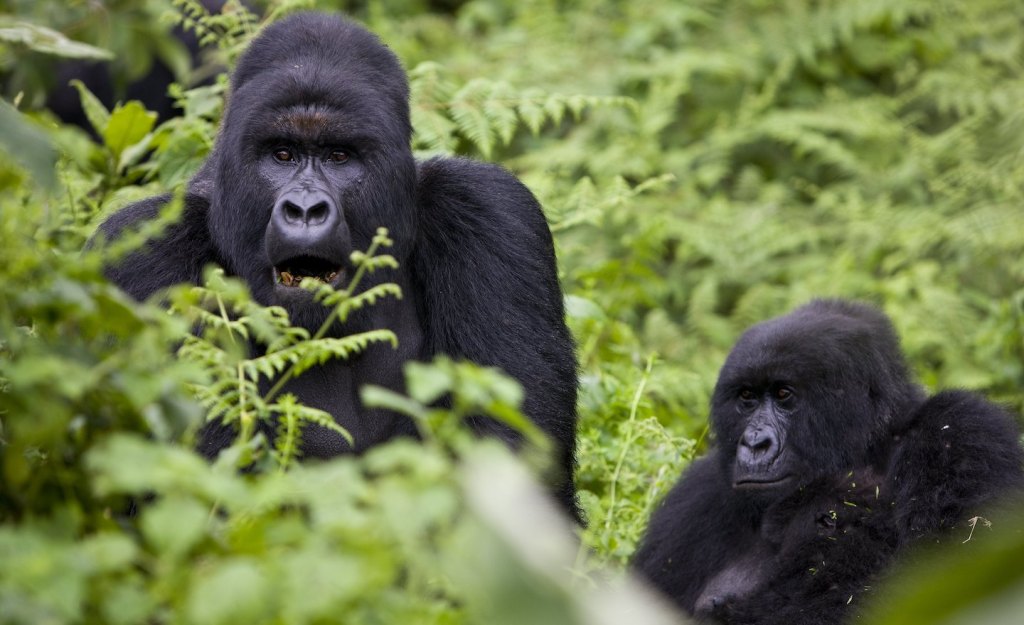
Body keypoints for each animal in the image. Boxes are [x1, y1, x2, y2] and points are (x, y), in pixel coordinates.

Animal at [630, 299, 1024, 618]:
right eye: (747, 397)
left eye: (784, 394)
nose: (755, 443)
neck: (871, 446)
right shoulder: (693, 500)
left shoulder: (963, 432)